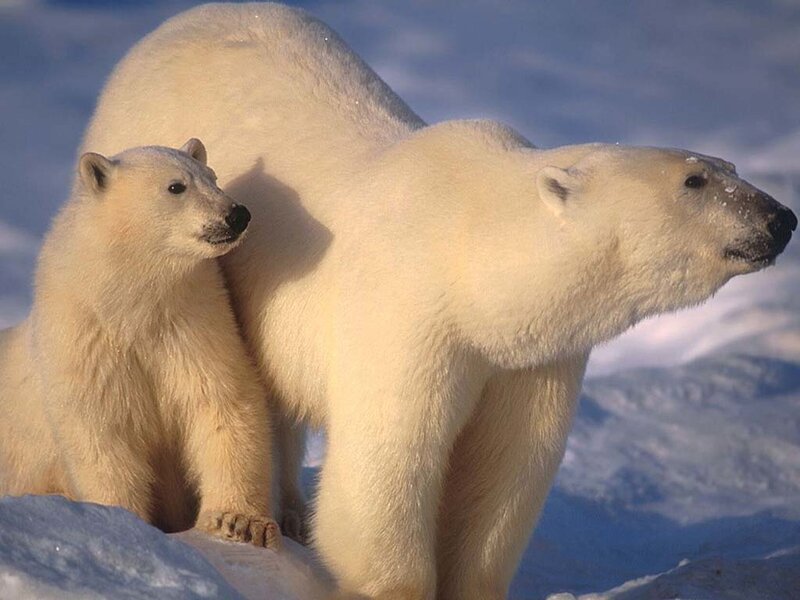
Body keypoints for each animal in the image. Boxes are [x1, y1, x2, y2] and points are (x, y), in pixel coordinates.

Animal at [0, 139, 280, 549]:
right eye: (176, 186)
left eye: (211, 176)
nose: (237, 214)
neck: (133, 309)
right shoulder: (86, 345)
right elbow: (103, 436)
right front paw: (124, 522)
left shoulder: (193, 327)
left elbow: (221, 403)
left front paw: (240, 522)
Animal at [78, 3, 796, 598]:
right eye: (695, 180)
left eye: (730, 166)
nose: (781, 217)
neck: (472, 252)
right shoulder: (408, 312)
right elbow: (390, 461)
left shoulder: (529, 358)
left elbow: (506, 469)